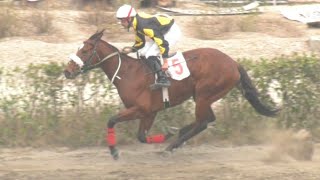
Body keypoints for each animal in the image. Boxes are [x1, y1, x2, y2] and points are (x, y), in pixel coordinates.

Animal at [63, 28, 278, 160]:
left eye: (85, 50)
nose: (67, 71)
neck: (128, 73)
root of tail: (233, 62)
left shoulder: (142, 109)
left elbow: (112, 121)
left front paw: (115, 152)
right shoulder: (149, 113)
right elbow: (141, 136)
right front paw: (168, 133)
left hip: (204, 95)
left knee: (203, 121)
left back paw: (172, 145)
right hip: (202, 96)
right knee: (206, 120)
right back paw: (178, 135)